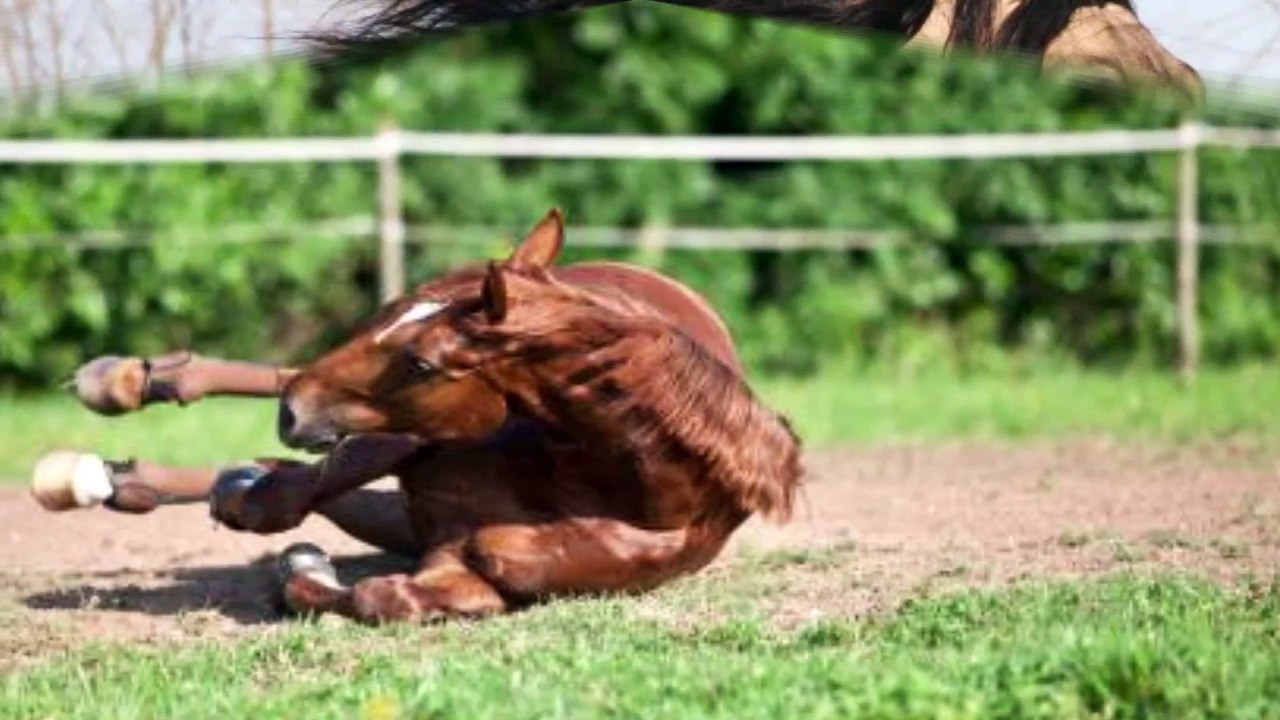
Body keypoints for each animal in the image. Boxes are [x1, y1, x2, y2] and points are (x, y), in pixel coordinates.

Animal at [31, 209, 803, 624]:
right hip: (390, 436)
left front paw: (304, 564)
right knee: (293, 444)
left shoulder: (464, 570)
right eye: (396, 320)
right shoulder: (412, 439)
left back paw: (137, 473)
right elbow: (291, 496)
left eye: (425, 364)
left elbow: (379, 594)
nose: (292, 414)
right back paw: (132, 388)